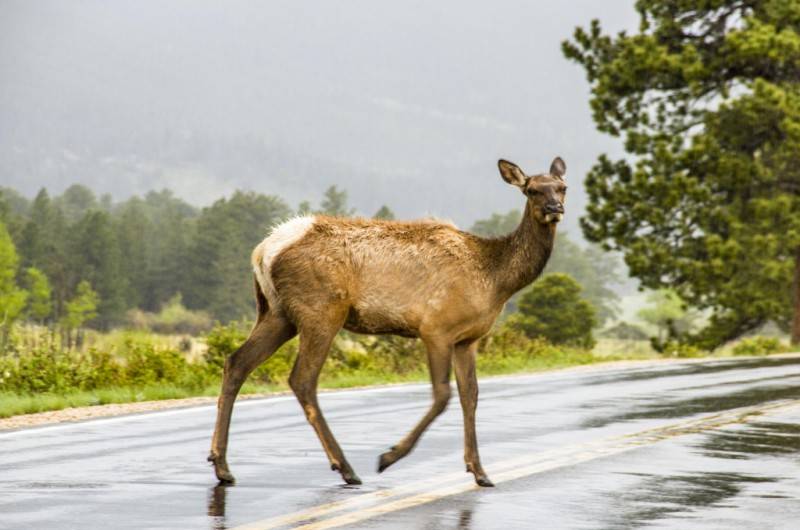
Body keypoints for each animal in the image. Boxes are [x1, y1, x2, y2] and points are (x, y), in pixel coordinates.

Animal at [209, 156, 564, 486]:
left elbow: (470, 396)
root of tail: (263, 250)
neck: (495, 279)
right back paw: (346, 467)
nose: (554, 208)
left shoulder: (468, 338)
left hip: (277, 313)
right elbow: (442, 395)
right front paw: (389, 456)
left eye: (562, 186)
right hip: (321, 309)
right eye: (531, 190)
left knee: (236, 362)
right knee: (302, 379)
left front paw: (479, 471)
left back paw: (222, 465)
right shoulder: (436, 328)